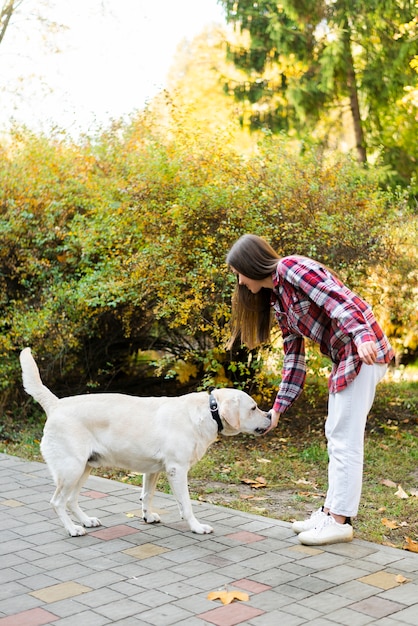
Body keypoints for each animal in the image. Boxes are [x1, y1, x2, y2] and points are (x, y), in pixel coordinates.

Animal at [19, 346, 272, 536]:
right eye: (253, 408)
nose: (270, 415)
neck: (209, 412)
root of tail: (56, 404)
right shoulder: (177, 470)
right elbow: (186, 503)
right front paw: (197, 526)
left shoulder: (153, 470)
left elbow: (147, 495)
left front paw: (147, 516)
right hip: (71, 468)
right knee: (57, 501)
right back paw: (72, 529)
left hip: (84, 468)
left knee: (70, 499)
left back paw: (86, 520)